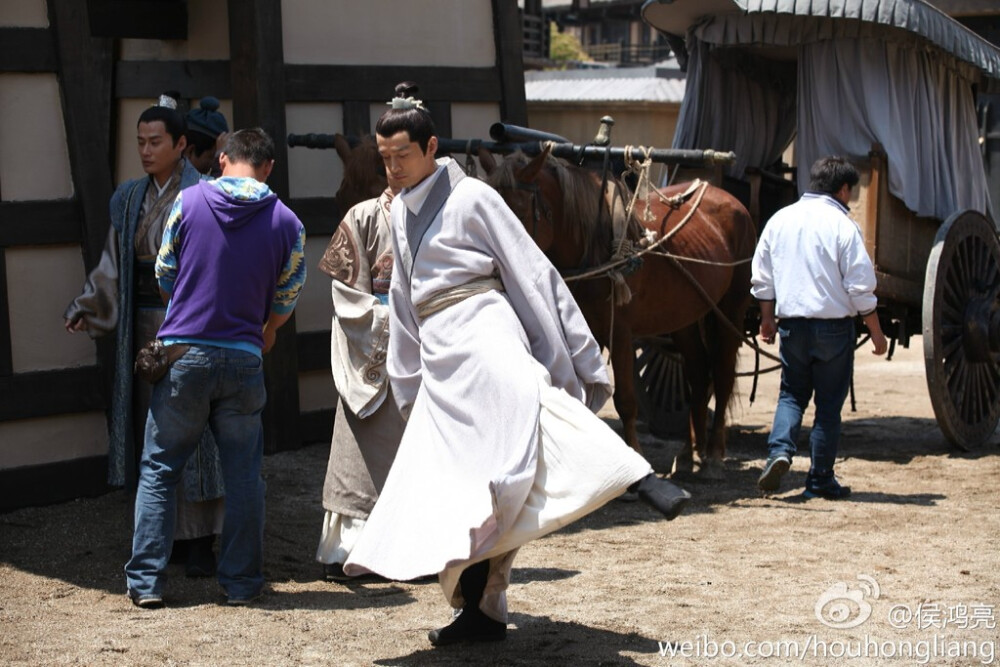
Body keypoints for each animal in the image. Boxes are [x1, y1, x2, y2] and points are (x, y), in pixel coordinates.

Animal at [480, 146, 752, 480]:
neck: (592, 248)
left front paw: (635, 458)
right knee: (698, 374)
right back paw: (690, 453)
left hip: (731, 308)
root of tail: (727, 198)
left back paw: (713, 455)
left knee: (723, 374)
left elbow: (625, 400)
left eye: (514, 214)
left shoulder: (621, 332)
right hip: (686, 317)